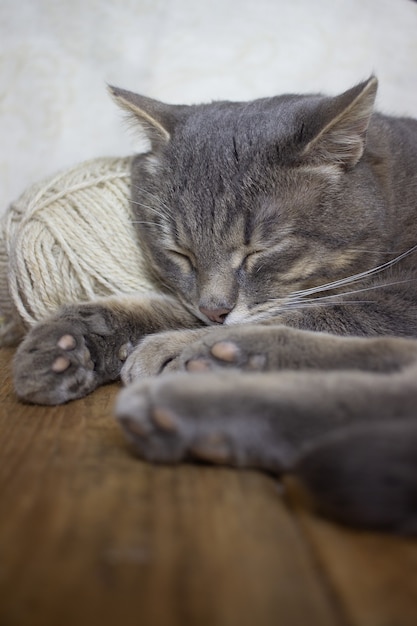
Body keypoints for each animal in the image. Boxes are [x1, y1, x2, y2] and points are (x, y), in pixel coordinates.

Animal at [11, 74, 416, 532]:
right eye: (181, 253)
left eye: (258, 251)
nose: (215, 309)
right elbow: (171, 309)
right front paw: (72, 339)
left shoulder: (400, 298)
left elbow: (319, 314)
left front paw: (176, 346)